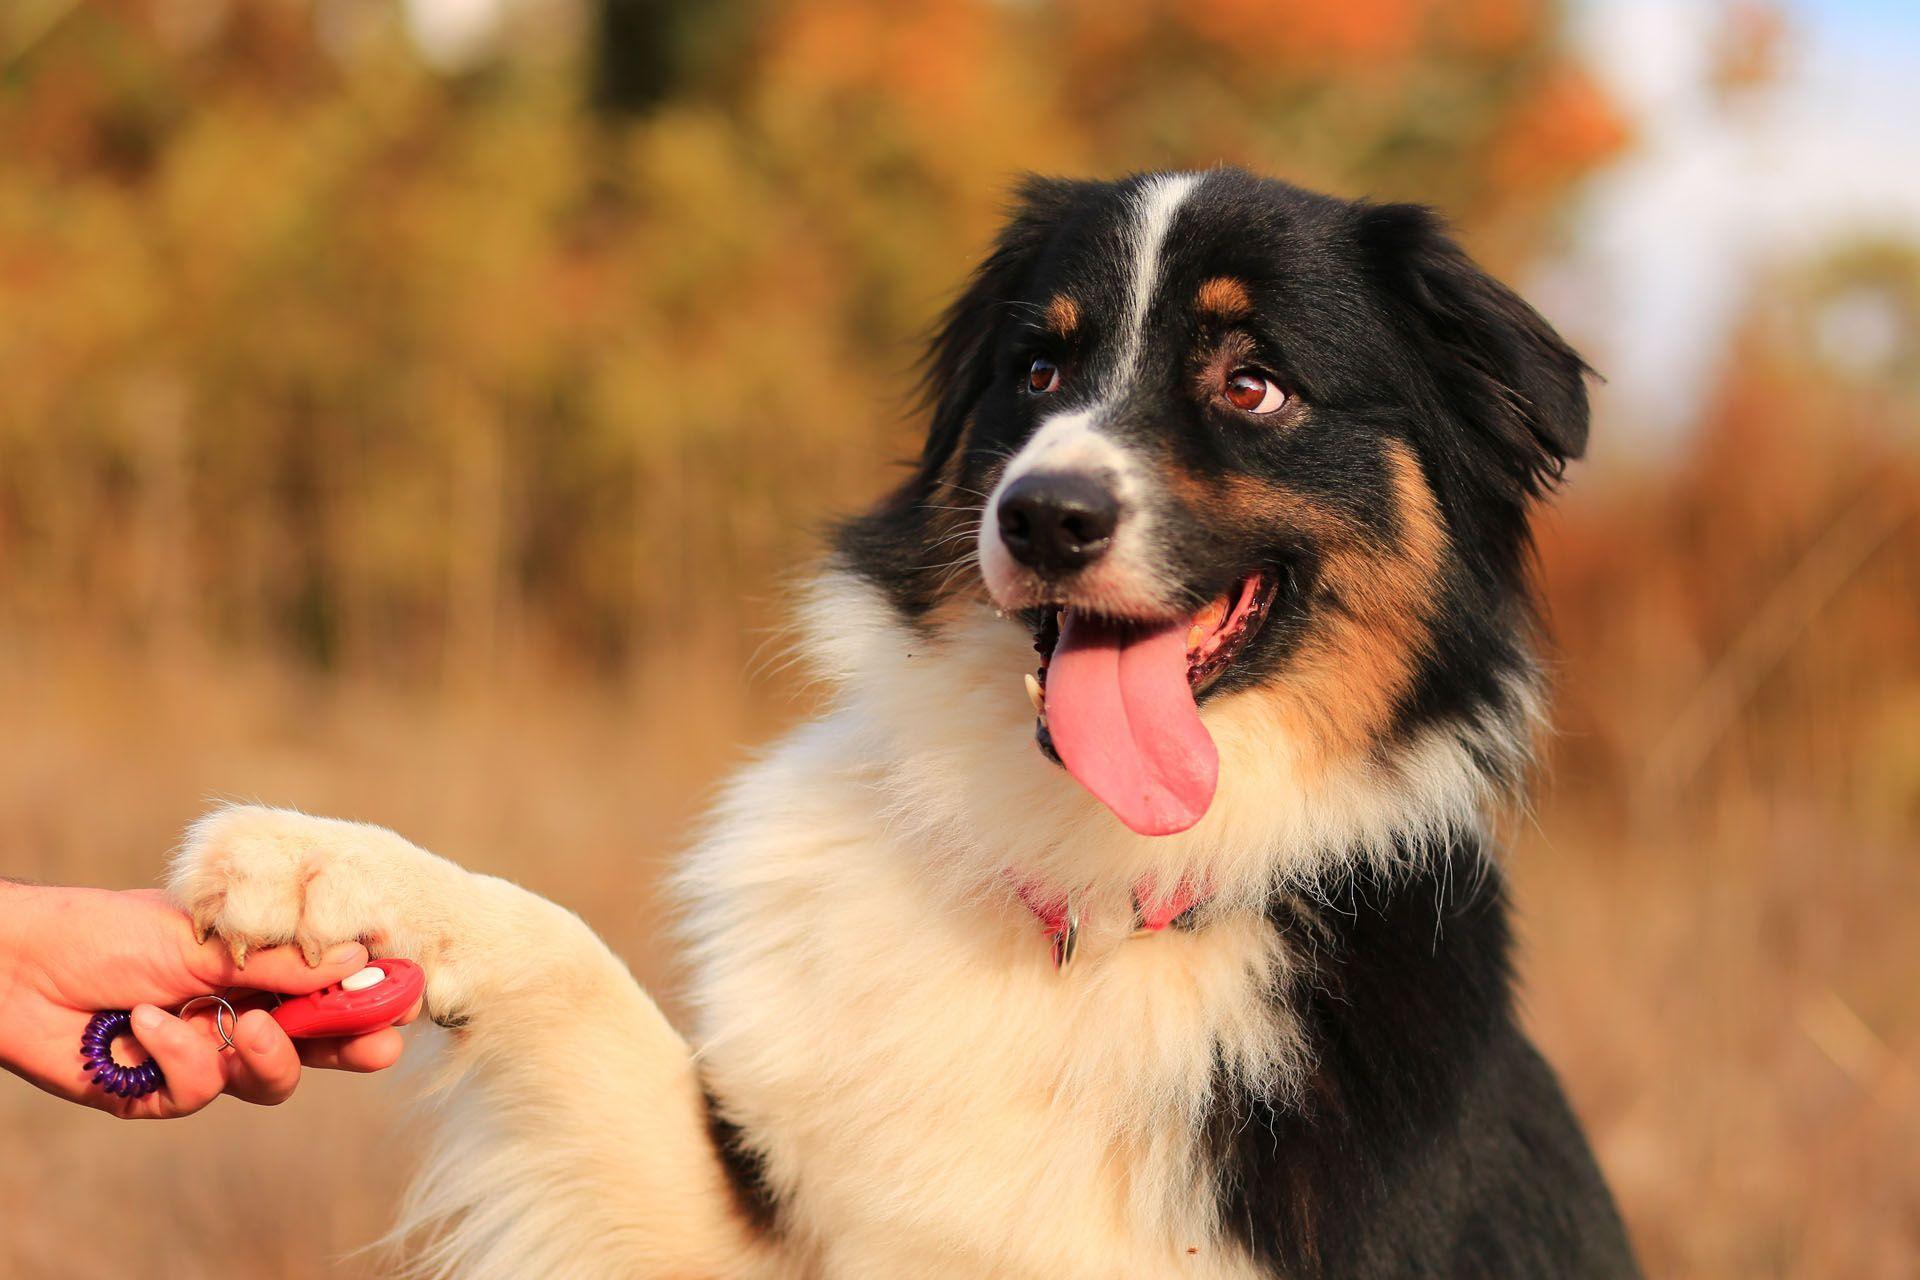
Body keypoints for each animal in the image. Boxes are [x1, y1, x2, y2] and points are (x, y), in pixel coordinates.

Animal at [168, 169, 1635, 1280]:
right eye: (1036, 367)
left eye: (1253, 383)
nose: (1042, 517)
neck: (1095, 902)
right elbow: (570, 953)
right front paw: (319, 862)